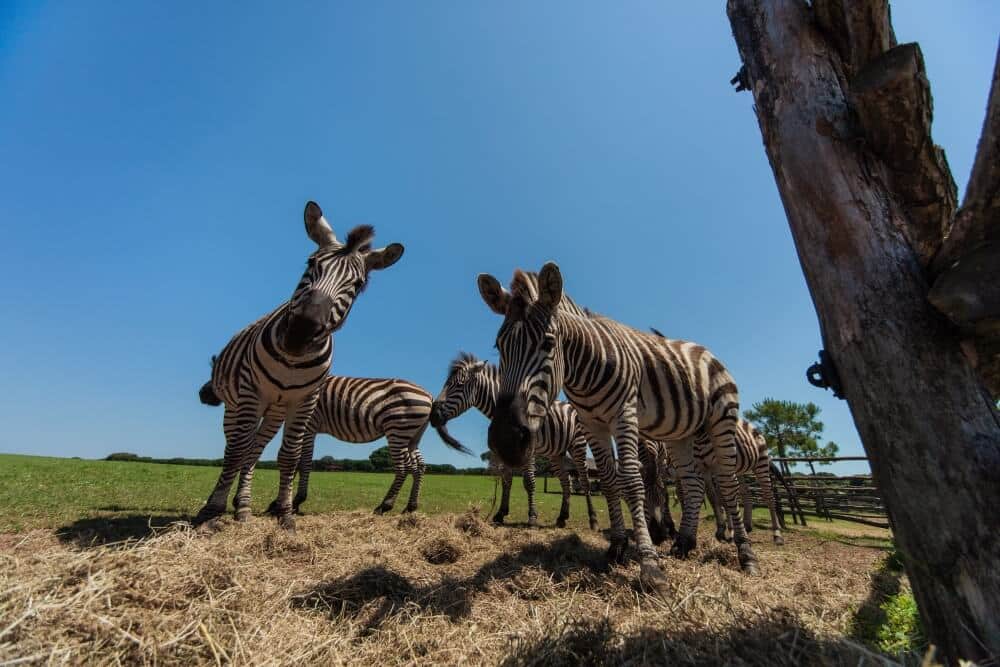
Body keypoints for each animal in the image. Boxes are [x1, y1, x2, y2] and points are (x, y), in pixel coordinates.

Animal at [192, 201, 402, 528]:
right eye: (310, 263)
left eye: (357, 285)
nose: (301, 332)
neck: (293, 361)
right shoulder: (253, 392)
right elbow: (238, 451)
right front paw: (212, 510)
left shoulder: (305, 401)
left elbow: (289, 456)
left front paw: (285, 512)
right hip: (242, 405)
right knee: (237, 447)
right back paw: (231, 503)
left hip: (277, 410)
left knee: (253, 448)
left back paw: (243, 505)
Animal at [201, 374, 474, 520]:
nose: (203, 394)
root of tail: (428, 396)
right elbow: (299, 462)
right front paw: (282, 502)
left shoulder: (309, 425)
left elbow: (302, 462)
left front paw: (295, 501)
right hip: (412, 435)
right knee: (419, 467)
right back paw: (410, 507)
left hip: (398, 429)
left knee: (403, 468)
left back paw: (384, 506)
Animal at [428, 352, 596, 528]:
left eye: (459, 385)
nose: (433, 415)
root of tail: (570, 406)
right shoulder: (505, 448)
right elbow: (506, 480)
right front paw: (500, 513)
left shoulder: (529, 449)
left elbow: (529, 482)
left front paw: (532, 517)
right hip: (556, 453)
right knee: (566, 481)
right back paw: (562, 517)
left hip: (578, 445)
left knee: (584, 480)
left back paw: (592, 518)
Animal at [476, 262, 756, 596]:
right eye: (498, 346)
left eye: (548, 343)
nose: (505, 440)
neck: (585, 367)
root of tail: (704, 350)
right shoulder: (592, 424)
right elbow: (610, 483)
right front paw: (617, 548)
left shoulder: (624, 415)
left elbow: (632, 482)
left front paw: (650, 566)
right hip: (681, 434)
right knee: (692, 483)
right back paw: (684, 543)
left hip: (721, 421)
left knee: (728, 484)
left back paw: (745, 554)